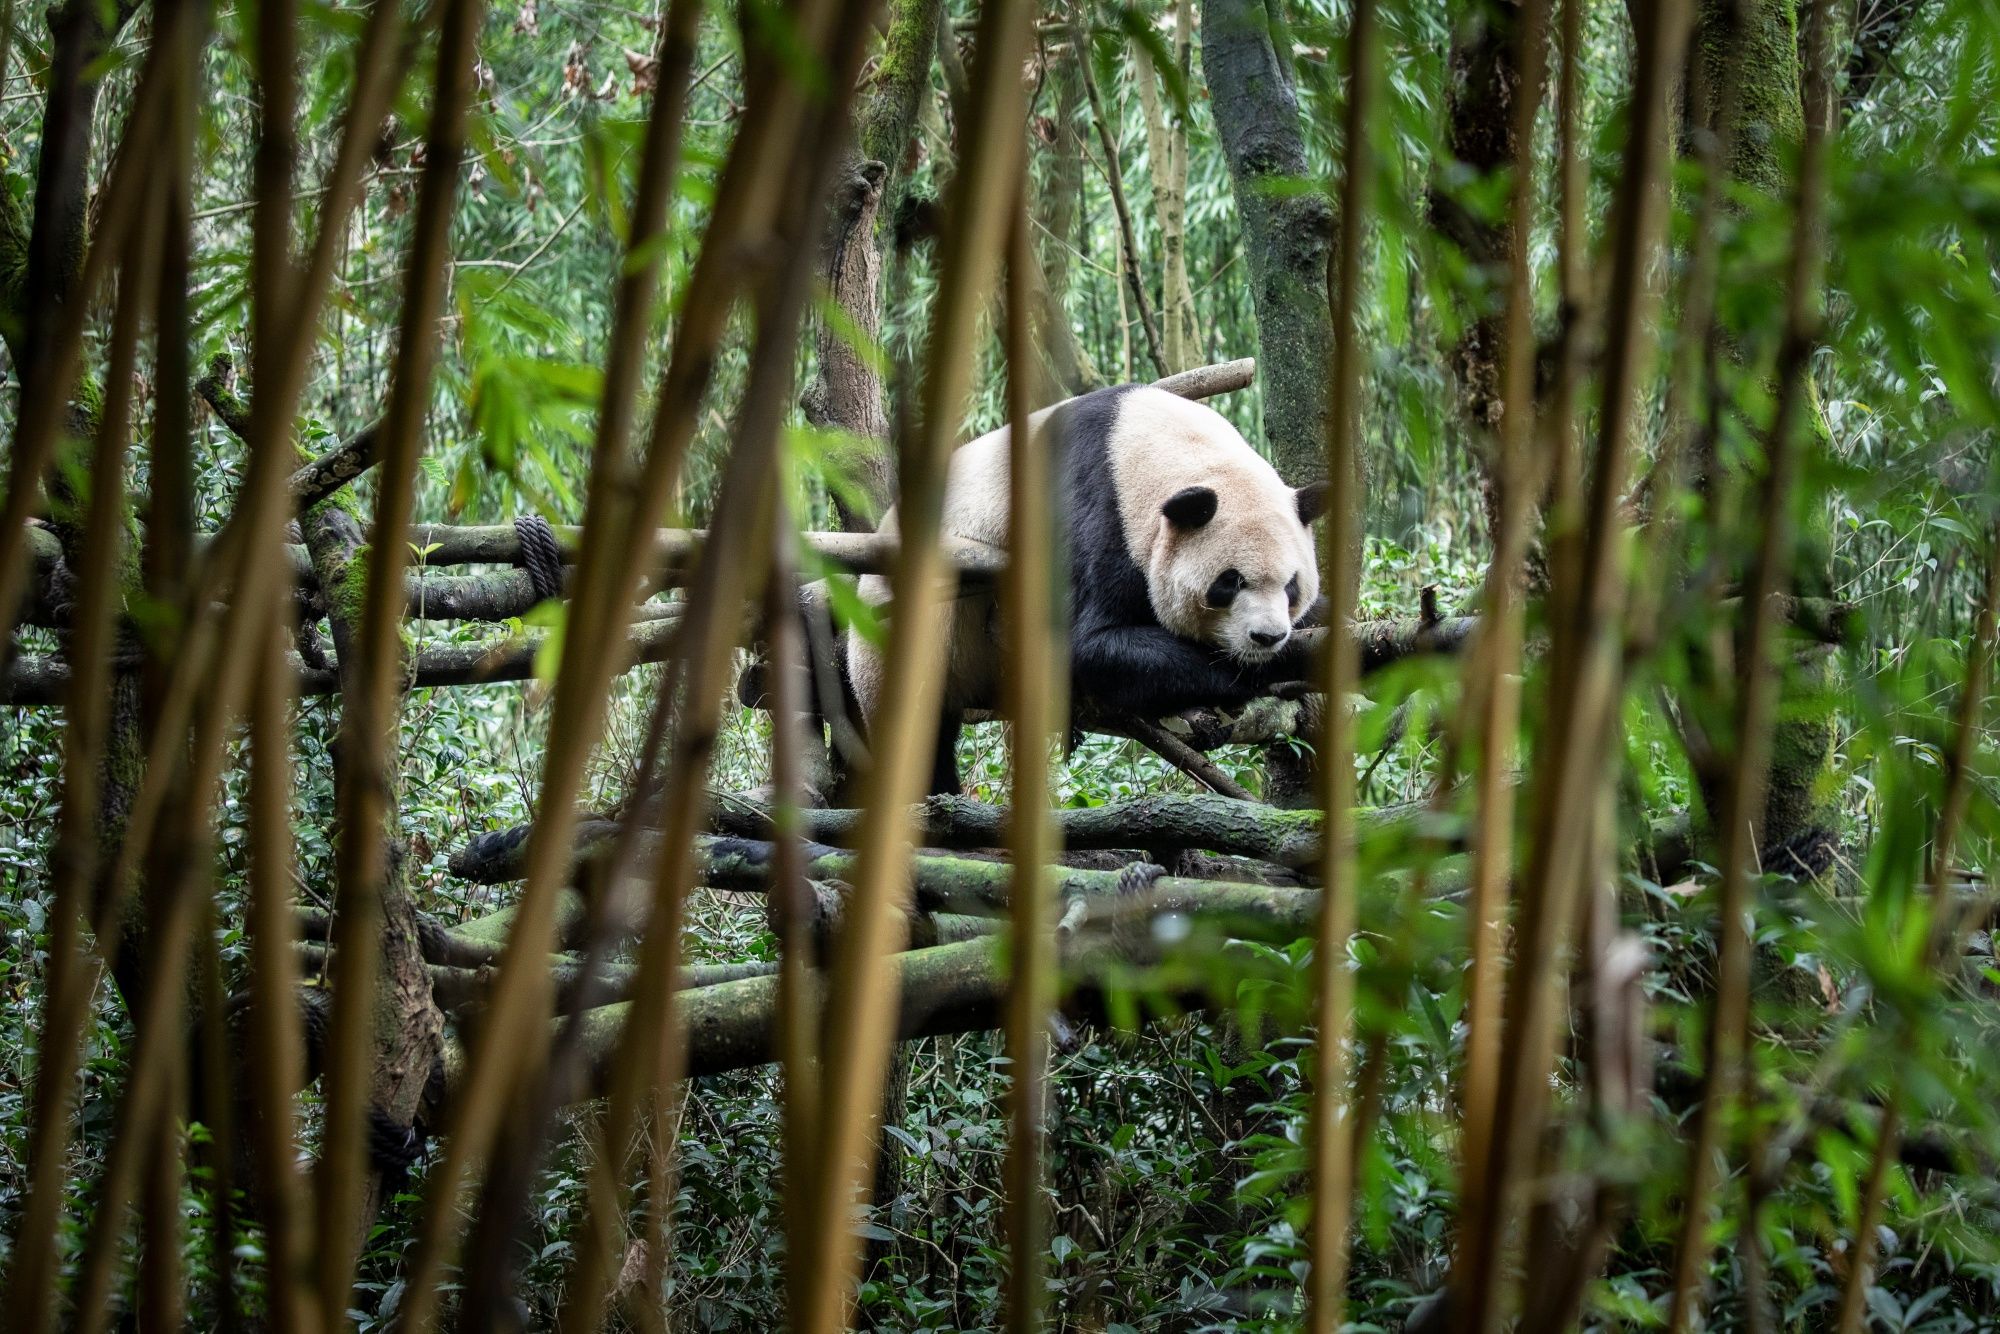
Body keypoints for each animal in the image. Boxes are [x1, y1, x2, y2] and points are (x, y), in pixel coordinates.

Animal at [844, 380, 1328, 800]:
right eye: (1229, 582)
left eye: (1291, 586)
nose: (1266, 637)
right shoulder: (1096, 509)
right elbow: (1092, 644)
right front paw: (1266, 668)